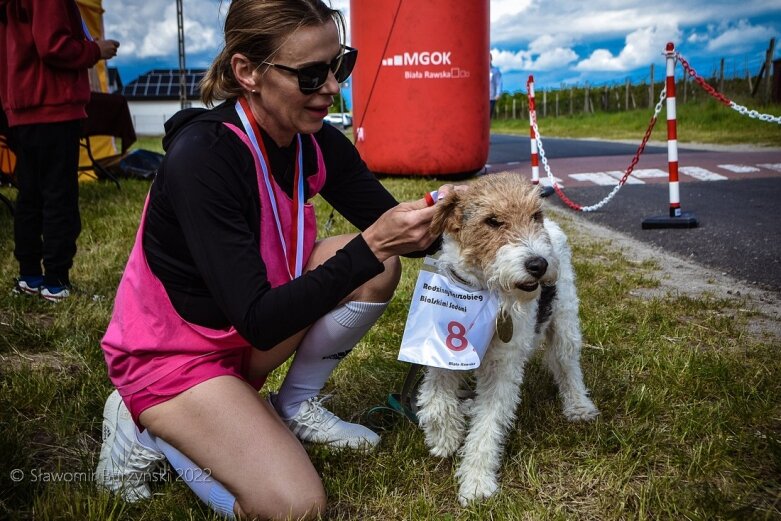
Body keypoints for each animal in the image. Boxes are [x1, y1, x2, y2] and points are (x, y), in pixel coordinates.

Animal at [420, 173, 596, 502]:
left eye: (535, 215)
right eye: (492, 221)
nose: (538, 265)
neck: (482, 290)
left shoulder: (502, 367)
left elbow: (488, 426)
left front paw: (477, 482)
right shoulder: (442, 354)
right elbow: (434, 399)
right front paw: (445, 437)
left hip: (564, 320)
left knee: (568, 366)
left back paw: (579, 406)